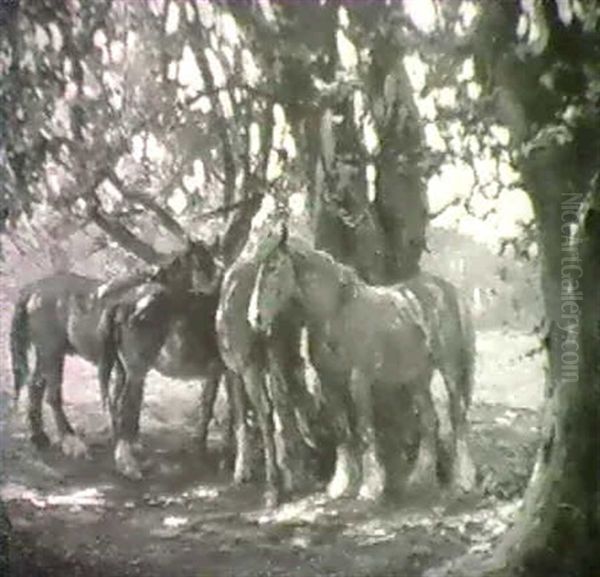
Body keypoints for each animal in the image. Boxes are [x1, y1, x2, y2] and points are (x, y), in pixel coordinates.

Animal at [248, 230, 474, 500]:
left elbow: (365, 431)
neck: (336, 313)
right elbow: (343, 432)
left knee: (458, 417)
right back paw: (419, 478)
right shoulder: (329, 382)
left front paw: (370, 486)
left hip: (449, 370)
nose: (254, 318)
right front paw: (341, 484)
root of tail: (447, 290)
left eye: (273, 267)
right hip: (416, 377)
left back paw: (464, 480)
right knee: (430, 422)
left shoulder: (359, 380)